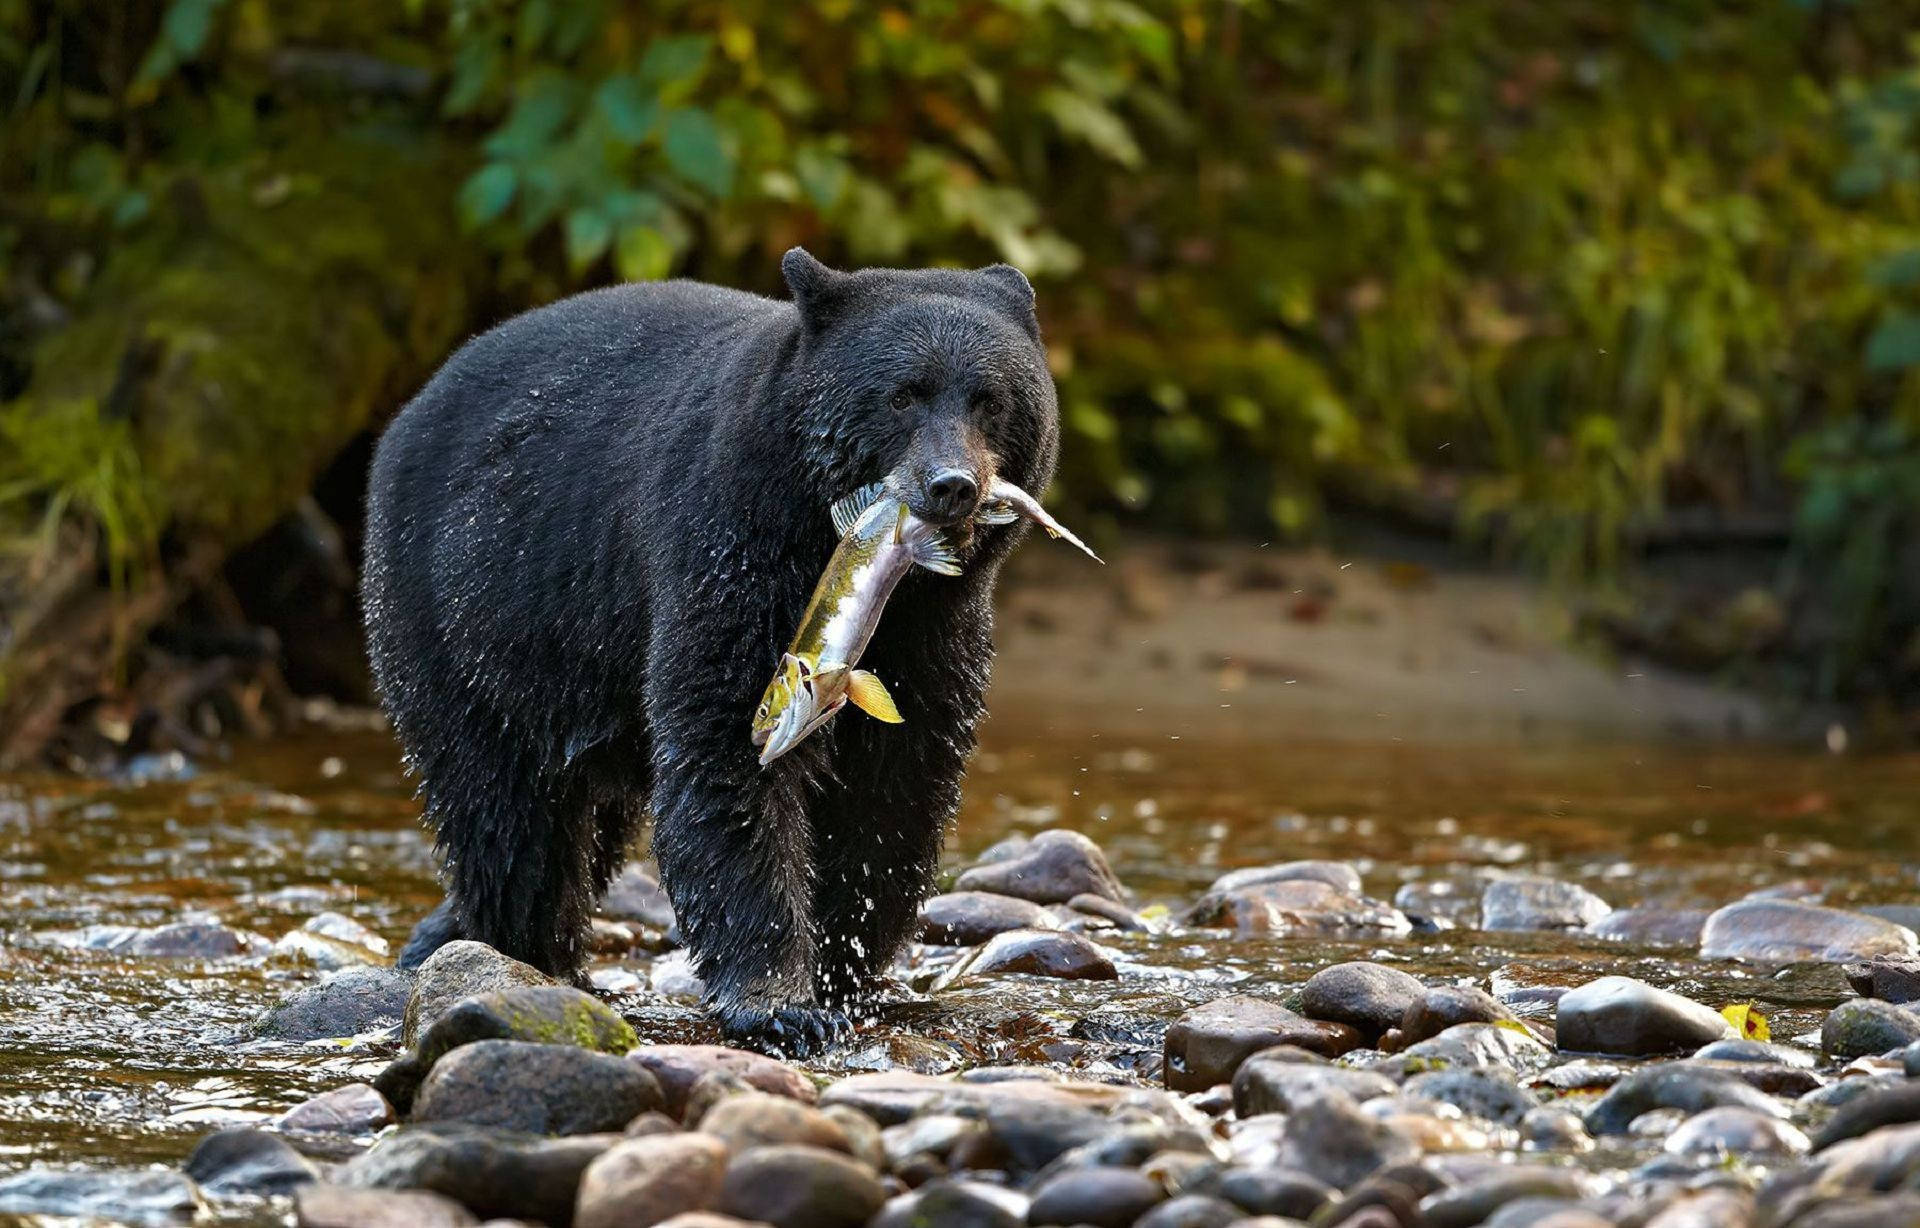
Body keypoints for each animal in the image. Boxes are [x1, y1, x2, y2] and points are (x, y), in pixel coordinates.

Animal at [360, 249, 1052, 1059]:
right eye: (902, 396)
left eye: (991, 400)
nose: (952, 485)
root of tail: (408, 413)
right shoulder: (729, 552)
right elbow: (725, 751)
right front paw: (782, 1003)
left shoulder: (937, 632)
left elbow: (897, 782)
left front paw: (844, 971)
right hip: (461, 622)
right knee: (507, 816)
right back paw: (523, 952)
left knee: (587, 826)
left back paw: (445, 936)